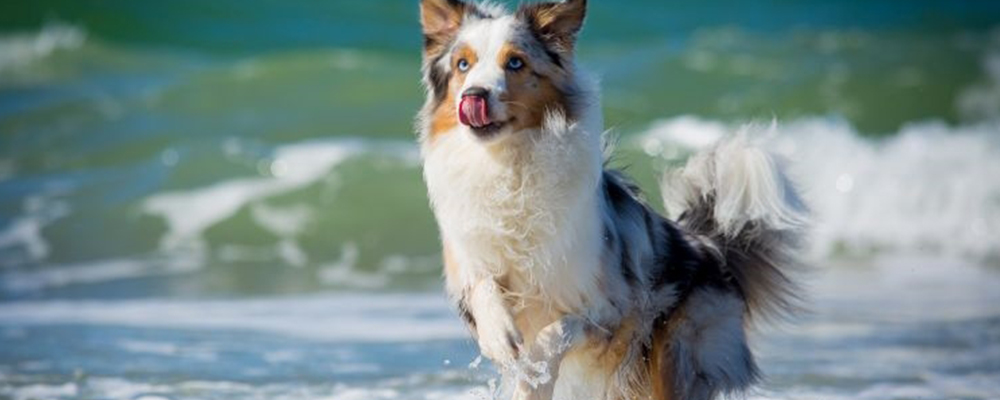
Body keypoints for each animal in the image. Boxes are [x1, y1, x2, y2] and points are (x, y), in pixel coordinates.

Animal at [418, 0, 808, 400]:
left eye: (515, 62)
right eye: (463, 65)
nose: (473, 96)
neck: (507, 164)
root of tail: (707, 246)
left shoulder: (614, 309)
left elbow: (556, 332)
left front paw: (533, 365)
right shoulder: (471, 259)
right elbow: (483, 286)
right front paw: (500, 336)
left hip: (676, 354)